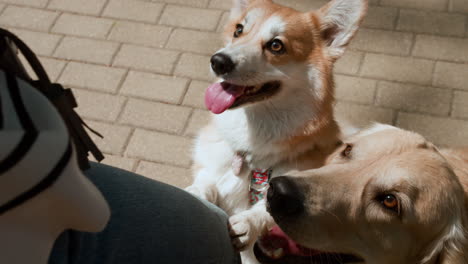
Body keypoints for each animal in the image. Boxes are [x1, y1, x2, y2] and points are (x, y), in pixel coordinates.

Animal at [185, 1, 368, 262]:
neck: (252, 153)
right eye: (239, 30)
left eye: (276, 45)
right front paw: (196, 193)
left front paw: (247, 224)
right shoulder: (211, 164)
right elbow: (206, 181)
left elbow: (266, 210)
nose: (218, 61)